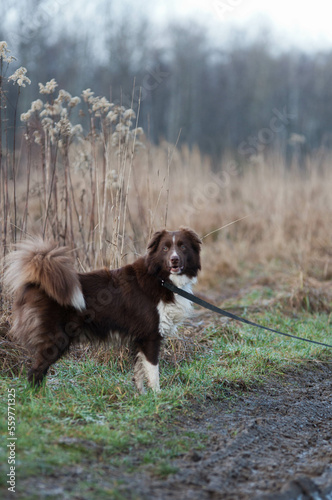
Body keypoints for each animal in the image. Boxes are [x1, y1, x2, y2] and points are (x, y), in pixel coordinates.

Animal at [4, 229, 202, 392]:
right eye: (165, 248)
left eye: (183, 246)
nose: (174, 259)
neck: (162, 279)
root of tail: (36, 284)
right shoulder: (150, 336)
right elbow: (153, 371)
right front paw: (157, 397)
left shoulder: (138, 339)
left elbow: (139, 372)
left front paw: (141, 396)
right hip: (56, 339)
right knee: (35, 371)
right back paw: (38, 398)